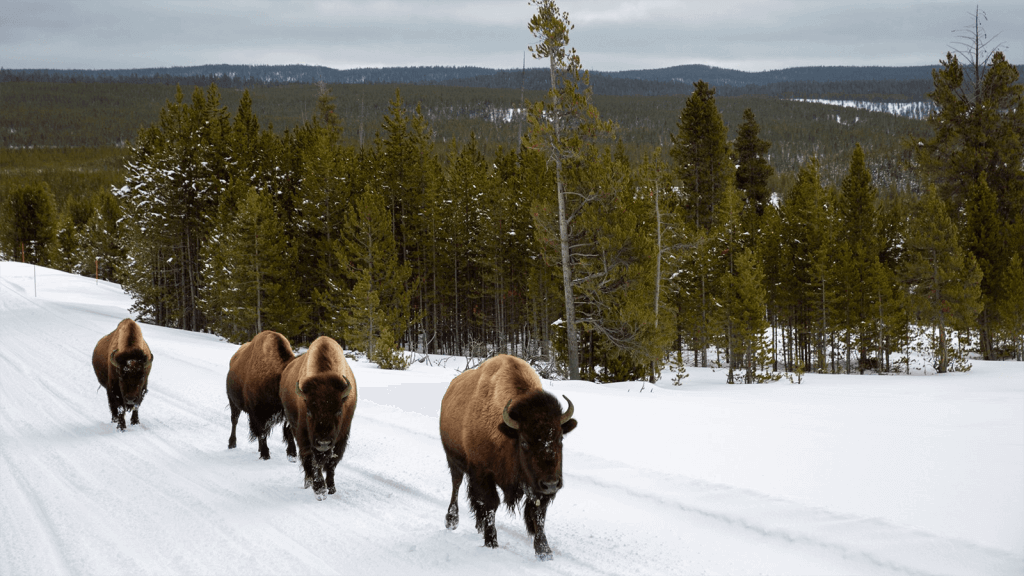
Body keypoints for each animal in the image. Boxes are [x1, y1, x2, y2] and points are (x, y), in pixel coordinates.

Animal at [227, 330, 296, 459]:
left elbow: (288, 430)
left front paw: (292, 453)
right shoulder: (258, 412)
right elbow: (263, 432)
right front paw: (265, 454)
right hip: (233, 403)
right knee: (234, 421)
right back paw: (232, 444)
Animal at [278, 334, 358, 500]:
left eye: (339, 411)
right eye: (309, 411)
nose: (323, 442)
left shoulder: (341, 437)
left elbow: (332, 462)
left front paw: (331, 488)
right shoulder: (305, 435)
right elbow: (312, 460)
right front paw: (320, 490)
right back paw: (306, 478)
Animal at [438, 352, 577, 557]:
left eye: (560, 438)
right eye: (524, 442)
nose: (551, 484)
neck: (507, 434)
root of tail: (450, 388)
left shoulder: (535, 483)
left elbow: (537, 511)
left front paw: (544, 551)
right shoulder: (483, 473)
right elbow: (491, 504)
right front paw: (491, 543)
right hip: (454, 460)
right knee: (456, 485)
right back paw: (451, 520)